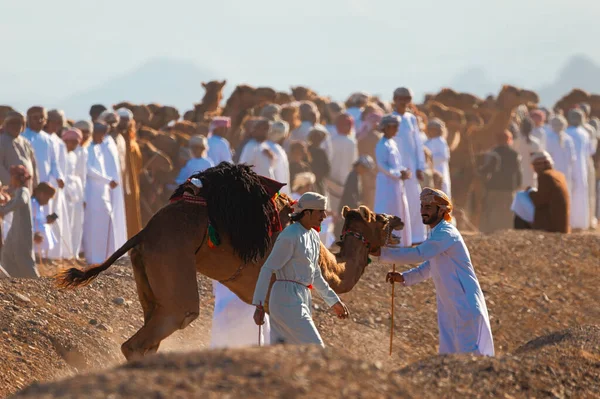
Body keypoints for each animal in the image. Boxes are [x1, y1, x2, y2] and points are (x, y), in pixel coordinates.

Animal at [57, 164, 404, 360]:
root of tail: (143, 232)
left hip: (147, 276)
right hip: (172, 263)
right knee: (167, 323)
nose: (398, 219)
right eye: (377, 218)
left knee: (149, 334)